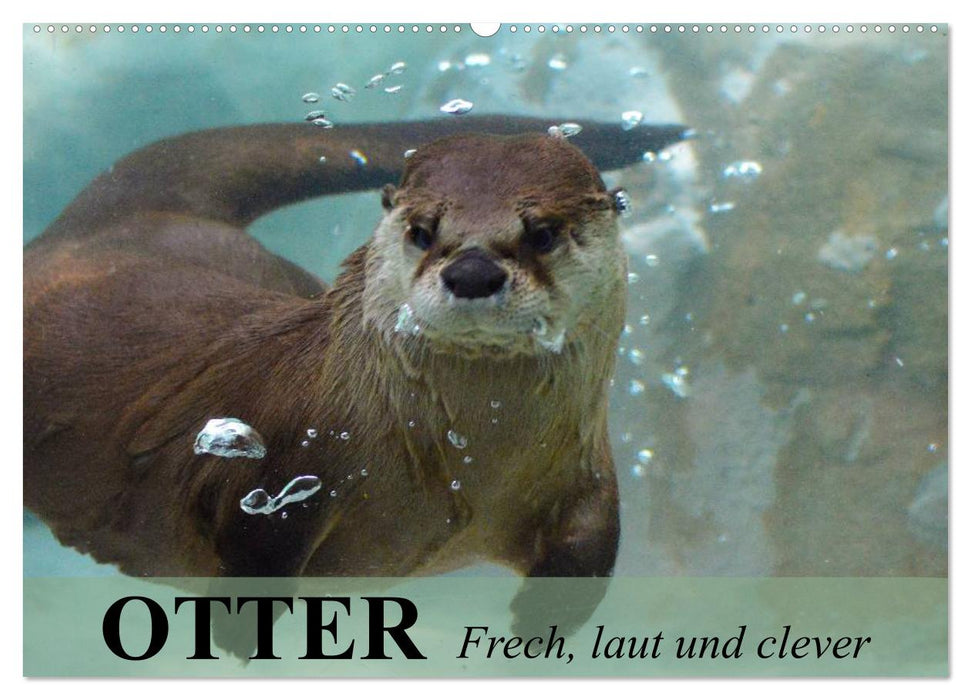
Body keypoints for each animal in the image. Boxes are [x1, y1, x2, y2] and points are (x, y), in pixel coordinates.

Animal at [24, 116, 686, 638]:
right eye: (423, 230)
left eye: (543, 233)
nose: (472, 271)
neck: (469, 465)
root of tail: (107, 225)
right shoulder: (285, 463)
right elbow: (254, 548)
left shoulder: (584, 470)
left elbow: (590, 549)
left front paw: (539, 624)